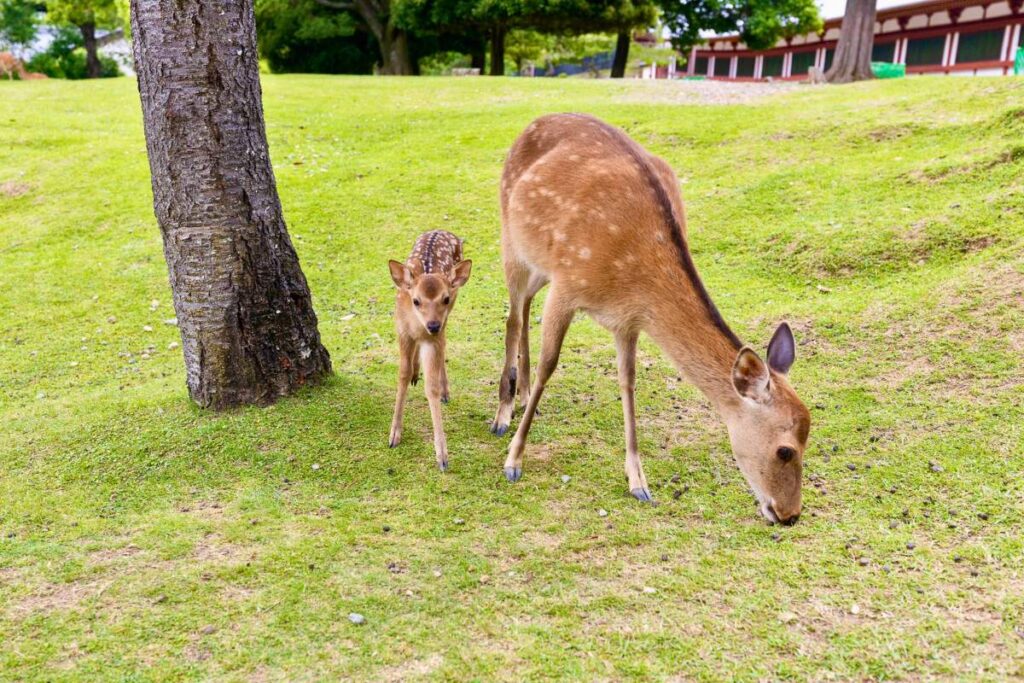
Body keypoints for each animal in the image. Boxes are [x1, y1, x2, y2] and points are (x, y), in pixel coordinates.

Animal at [388, 230, 473, 472]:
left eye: (444, 298)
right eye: (416, 300)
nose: (433, 324)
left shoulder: (432, 338)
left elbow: (431, 388)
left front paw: (442, 456)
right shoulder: (402, 331)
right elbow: (402, 375)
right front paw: (393, 435)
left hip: (451, 311)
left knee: (444, 344)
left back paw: (445, 390)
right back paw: (417, 372)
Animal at [490, 114, 810, 525]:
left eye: (808, 438)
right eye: (785, 449)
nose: (789, 514)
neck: (635, 277)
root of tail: (532, 123)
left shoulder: (627, 320)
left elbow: (627, 383)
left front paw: (638, 482)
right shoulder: (568, 283)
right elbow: (550, 364)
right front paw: (513, 461)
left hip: (538, 261)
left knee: (526, 304)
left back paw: (525, 393)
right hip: (510, 238)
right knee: (513, 316)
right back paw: (503, 413)